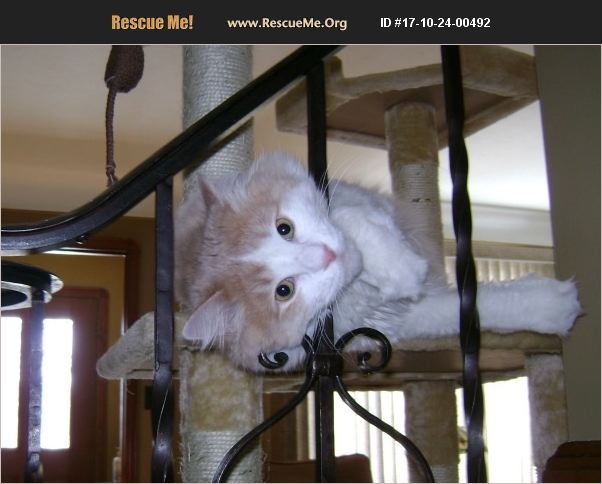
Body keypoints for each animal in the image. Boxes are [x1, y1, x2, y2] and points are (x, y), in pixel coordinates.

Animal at [175, 153, 581, 372]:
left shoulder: (347, 197)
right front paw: (556, 307)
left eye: (284, 227)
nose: (326, 255)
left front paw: (400, 266)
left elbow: (350, 220)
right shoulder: (396, 323)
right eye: (284, 291)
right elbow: (480, 309)